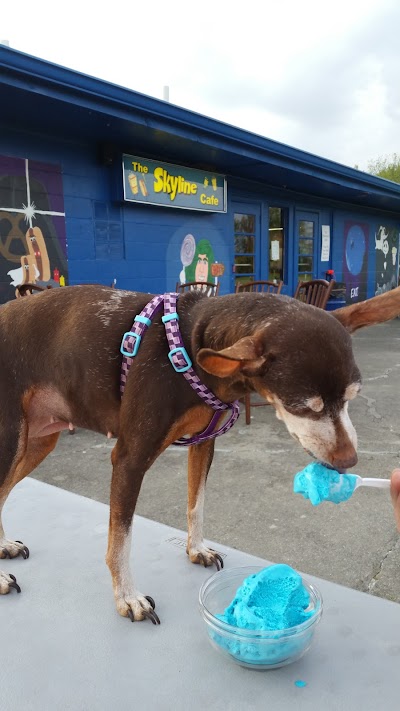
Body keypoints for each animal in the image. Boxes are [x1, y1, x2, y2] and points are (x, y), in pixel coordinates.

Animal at [0, 286, 400, 624]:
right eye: (303, 406)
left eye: (351, 397)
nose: (347, 462)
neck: (193, 345)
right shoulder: (130, 459)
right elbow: (121, 540)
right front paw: (127, 597)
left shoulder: (204, 444)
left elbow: (197, 503)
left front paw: (197, 549)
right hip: (12, 441)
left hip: (37, 443)